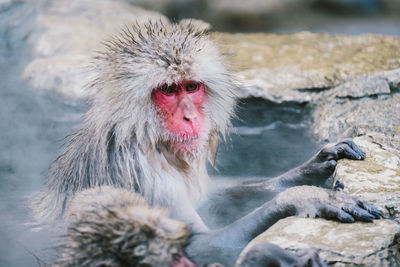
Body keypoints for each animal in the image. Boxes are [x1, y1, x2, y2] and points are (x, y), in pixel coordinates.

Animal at [32, 19, 382, 266]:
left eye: (191, 87)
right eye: (168, 90)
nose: (190, 118)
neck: (148, 137)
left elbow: (211, 202)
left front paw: (308, 171)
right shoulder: (140, 170)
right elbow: (195, 247)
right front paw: (305, 198)